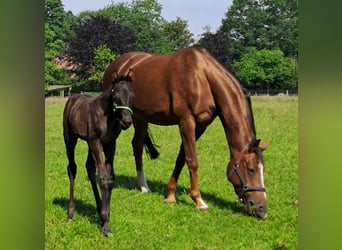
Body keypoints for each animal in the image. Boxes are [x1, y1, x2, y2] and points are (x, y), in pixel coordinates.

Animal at [62, 72, 134, 234]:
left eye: (132, 95)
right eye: (115, 96)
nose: (127, 121)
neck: (107, 117)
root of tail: (72, 97)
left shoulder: (110, 144)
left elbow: (110, 178)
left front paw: (105, 218)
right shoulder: (96, 142)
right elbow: (103, 178)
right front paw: (106, 223)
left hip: (89, 143)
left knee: (89, 168)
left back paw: (99, 207)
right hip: (70, 138)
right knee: (72, 168)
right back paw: (70, 213)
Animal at [103, 47, 268, 219]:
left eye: (263, 169)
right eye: (251, 169)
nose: (262, 209)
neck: (203, 77)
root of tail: (116, 65)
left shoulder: (200, 126)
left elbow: (181, 158)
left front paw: (170, 195)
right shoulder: (186, 121)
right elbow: (192, 161)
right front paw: (199, 201)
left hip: (140, 118)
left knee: (137, 145)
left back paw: (143, 186)